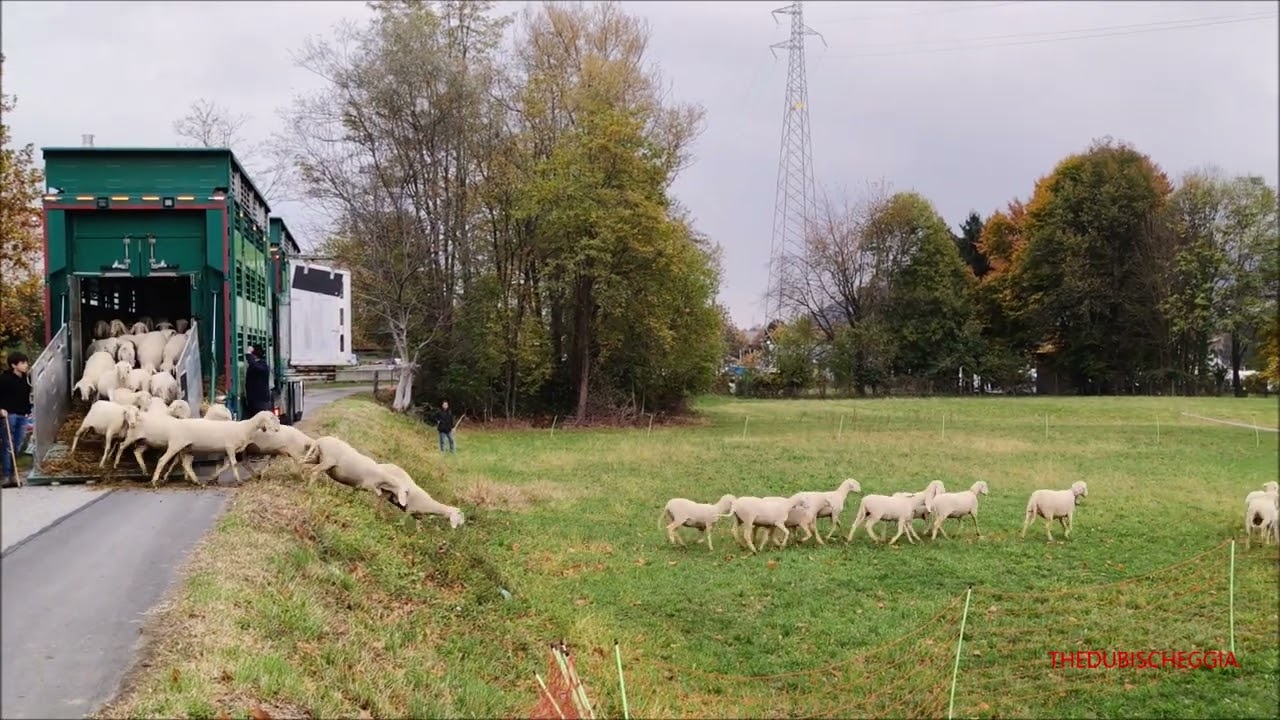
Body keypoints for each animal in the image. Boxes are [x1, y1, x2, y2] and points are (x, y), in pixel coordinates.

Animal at [148, 411, 282, 486]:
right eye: (273, 419)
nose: (277, 430)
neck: (245, 428)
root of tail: (175, 425)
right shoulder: (230, 447)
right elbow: (233, 464)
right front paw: (239, 481)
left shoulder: (227, 450)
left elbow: (226, 465)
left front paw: (212, 478)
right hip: (176, 444)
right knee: (162, 460)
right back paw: (154, 482)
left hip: (188, 448)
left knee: (186, 464)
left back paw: (196, 482)